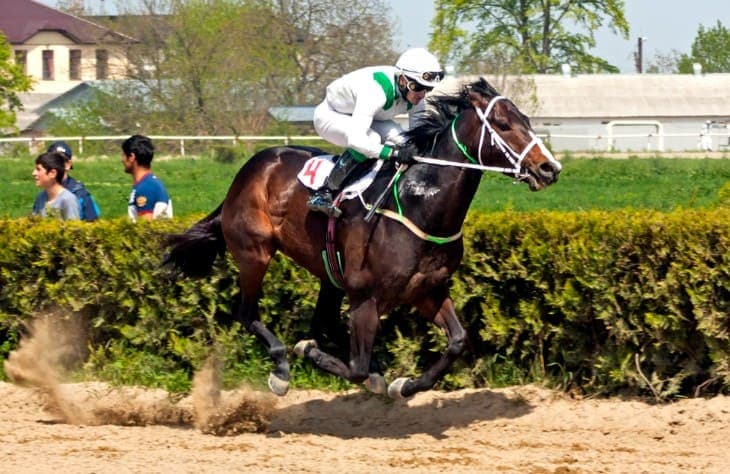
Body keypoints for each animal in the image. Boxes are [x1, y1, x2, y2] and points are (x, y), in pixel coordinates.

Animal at [163, 77, 561, 400]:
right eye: (503, 124)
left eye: (528, 121)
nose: (549, 169)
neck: (419, 205)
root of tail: (251, 167)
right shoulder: (366, 299)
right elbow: (355, 369)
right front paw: (311, 352)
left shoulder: (428, 290)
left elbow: (458, 341)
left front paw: (405, 384)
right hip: (254, 253)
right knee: (246, 313)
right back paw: (281, 368)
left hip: (328, 273)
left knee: (323, 321)